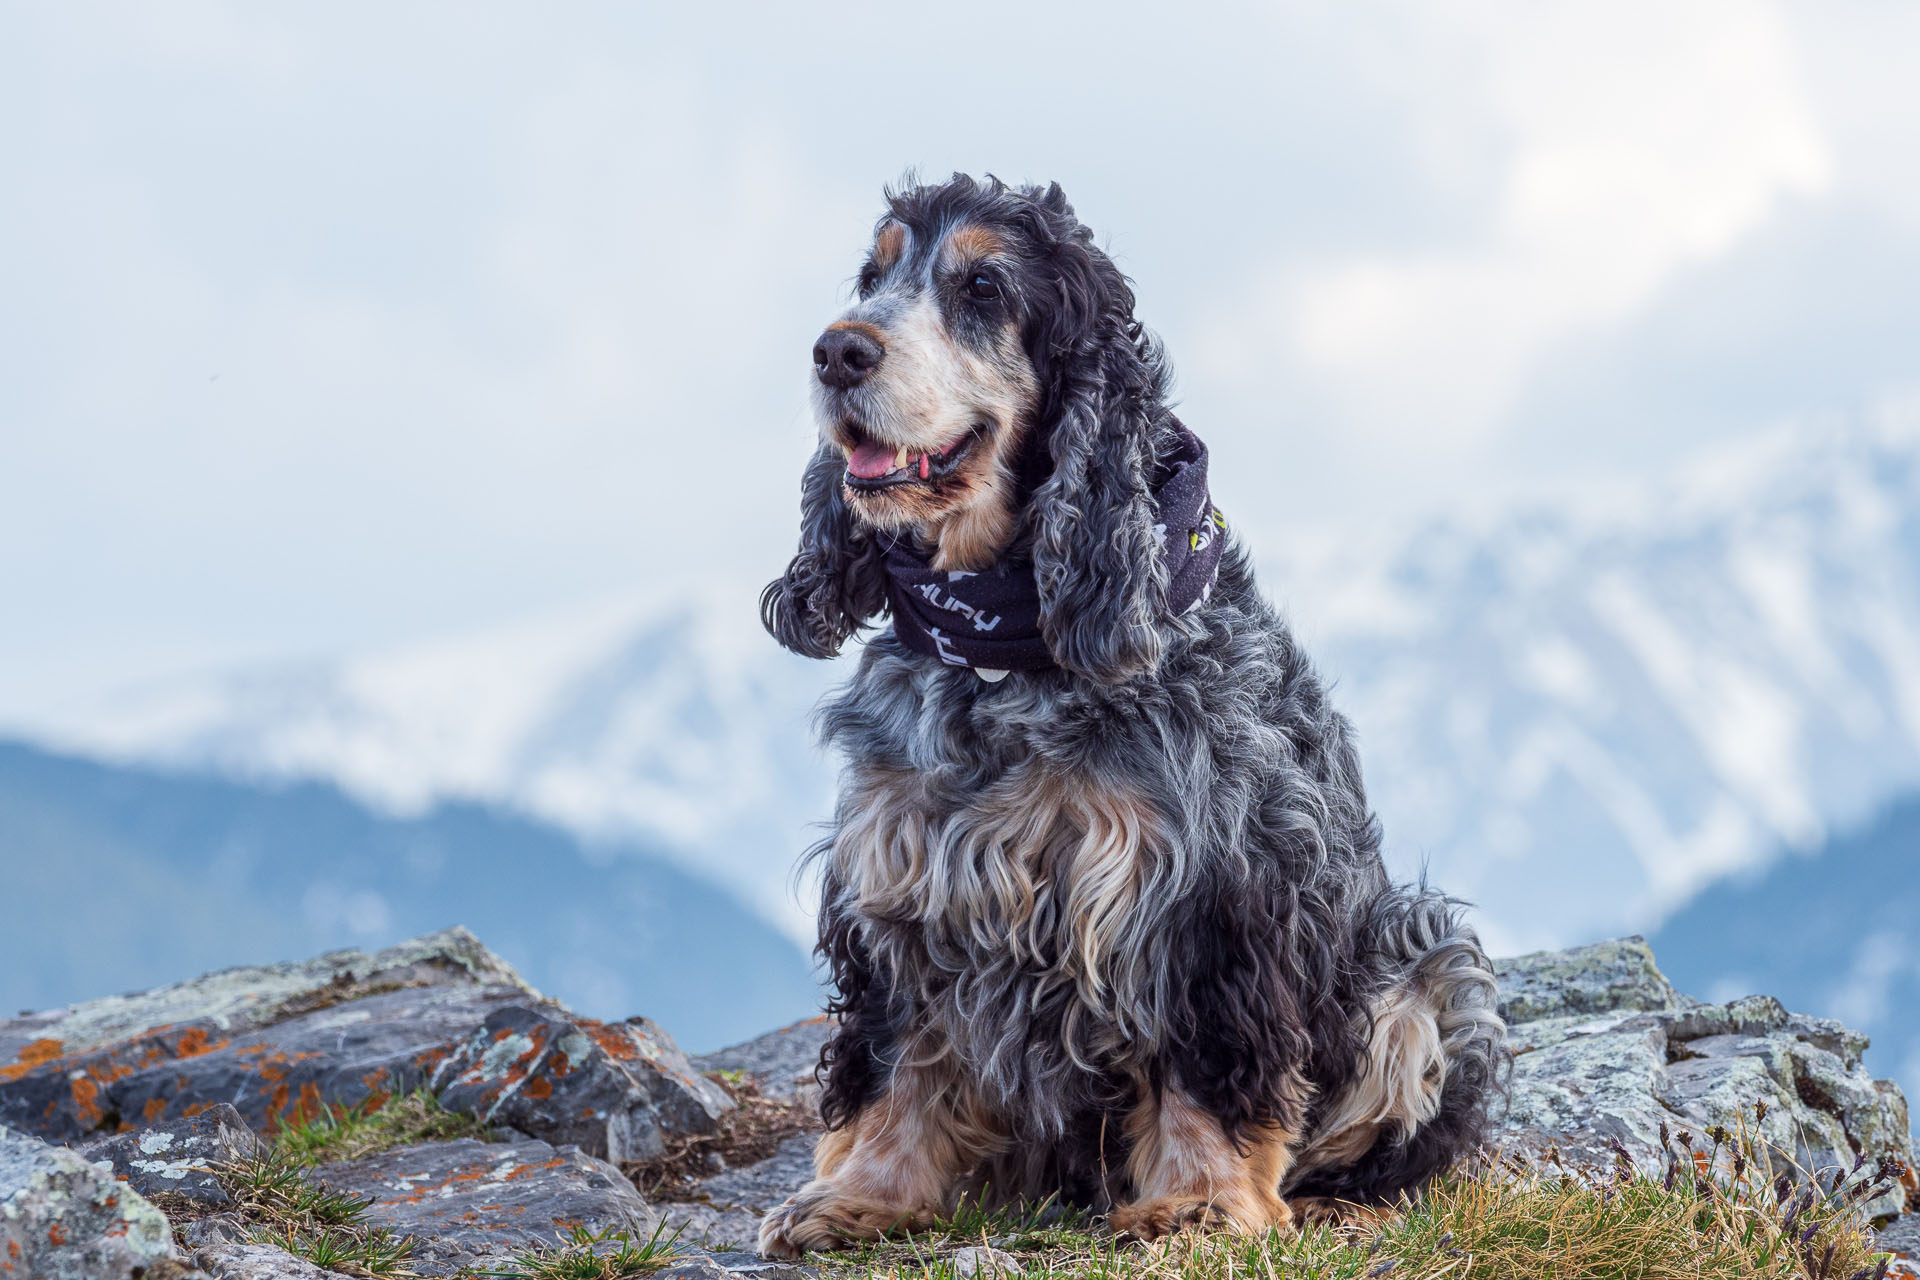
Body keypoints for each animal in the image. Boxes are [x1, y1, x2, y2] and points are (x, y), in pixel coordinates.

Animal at [756, 175, 1505, 1258]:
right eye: (872, 276)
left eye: (982, 287)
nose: (836, 350)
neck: (1006, 648)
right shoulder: (899, 875)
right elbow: (901, 1055)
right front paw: (860, 1192)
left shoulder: (1210, 887)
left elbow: (1202, 1062)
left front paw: (1201, 1200)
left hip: (1430, 962)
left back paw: (1332, 1198)